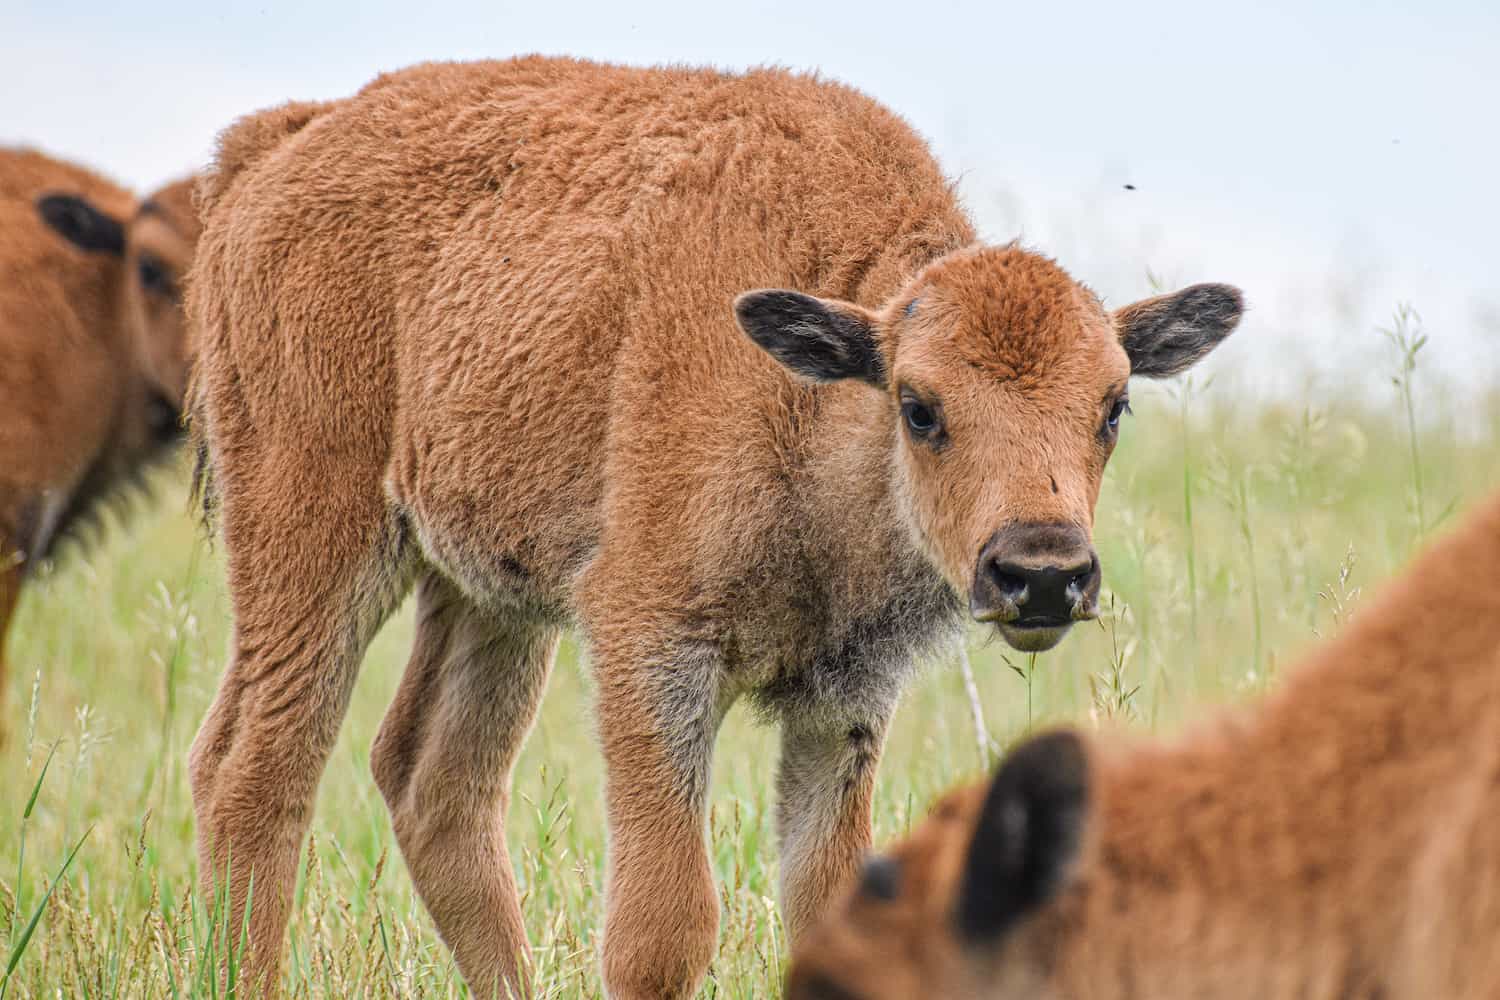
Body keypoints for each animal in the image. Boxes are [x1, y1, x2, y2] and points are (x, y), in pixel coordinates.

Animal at [187, 56, 1242, 1000]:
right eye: (919, 406)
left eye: (1113, 406)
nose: (1044, 572)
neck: (811, 400)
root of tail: (276, 146)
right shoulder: (649, 649)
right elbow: (664, 928)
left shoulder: (845, 697)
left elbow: (826, 902)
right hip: (314, 534)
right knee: (254, 769)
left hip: (490, 596)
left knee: (435, 782)